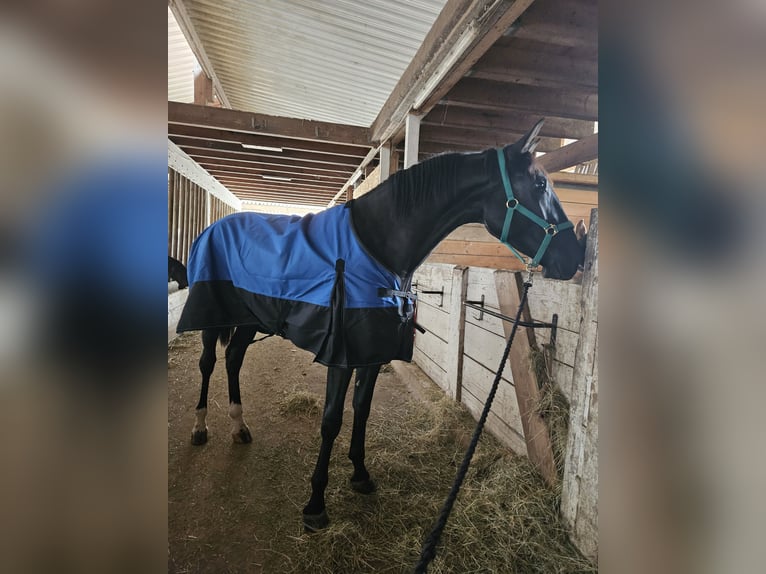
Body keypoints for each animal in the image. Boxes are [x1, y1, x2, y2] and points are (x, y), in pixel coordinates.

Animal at [177, 120, 584, 532]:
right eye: (539, 184)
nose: (574, 257)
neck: (377, 247)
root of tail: (215, 226)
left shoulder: (371, 353)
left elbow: (362, 410)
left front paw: (360, 474)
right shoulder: (341, 357)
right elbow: (331, 421)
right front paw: (315, 504)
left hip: (247, 319)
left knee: (234, 360)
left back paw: (239, 427)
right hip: (213, 315)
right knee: (209, 363)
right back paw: (199, 428)